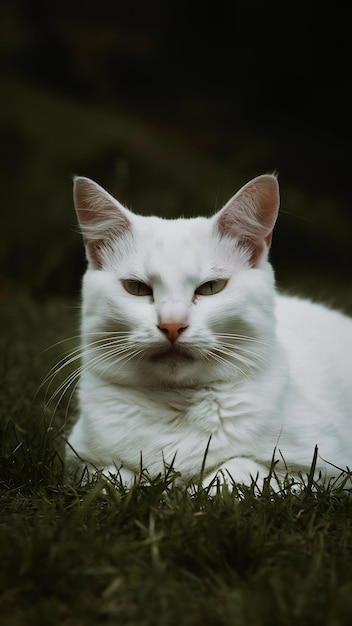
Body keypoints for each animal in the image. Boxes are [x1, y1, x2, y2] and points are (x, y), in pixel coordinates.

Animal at [65, 173, 352, 486]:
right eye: (137, 288)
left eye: (211, 287)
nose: (172, 324)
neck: (176, 407)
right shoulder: (79, 460)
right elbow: (110, 477)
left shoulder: (326, 469)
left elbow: (236, 470)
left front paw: (196, 489)